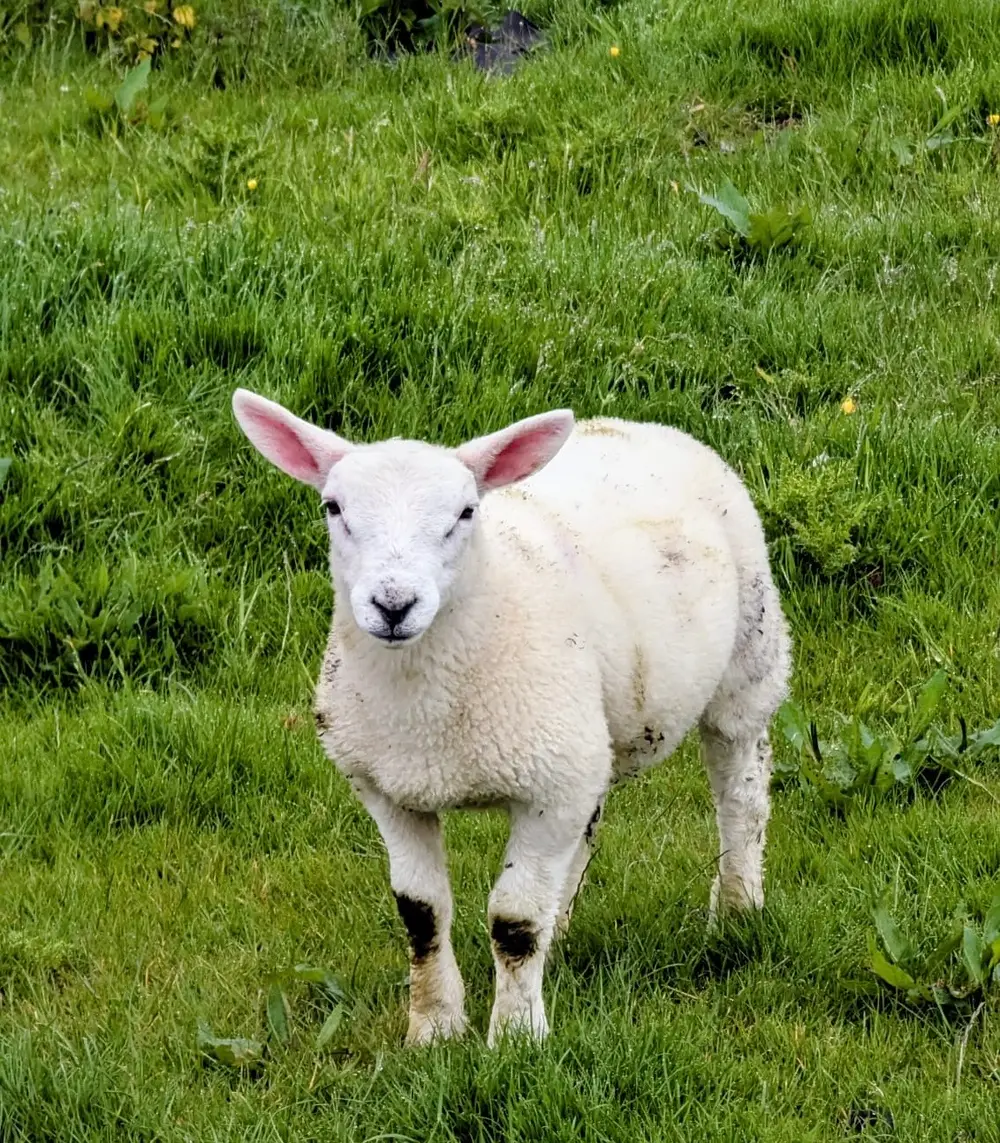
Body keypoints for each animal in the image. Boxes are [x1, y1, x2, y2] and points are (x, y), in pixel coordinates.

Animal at [231, 388, 792, 1047]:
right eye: (333, 507)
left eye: (465, 513)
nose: (393, 605)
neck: (426, 709)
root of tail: (641, 425)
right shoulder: (389, 792)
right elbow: (421, 913)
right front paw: (434, 1029)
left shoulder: (547, 787)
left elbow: (514, 921)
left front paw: (518, 1036)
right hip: (585, 738)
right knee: (585, 828)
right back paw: (566, 926)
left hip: (747, 660)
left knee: (742, 791)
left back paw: (736, 906)